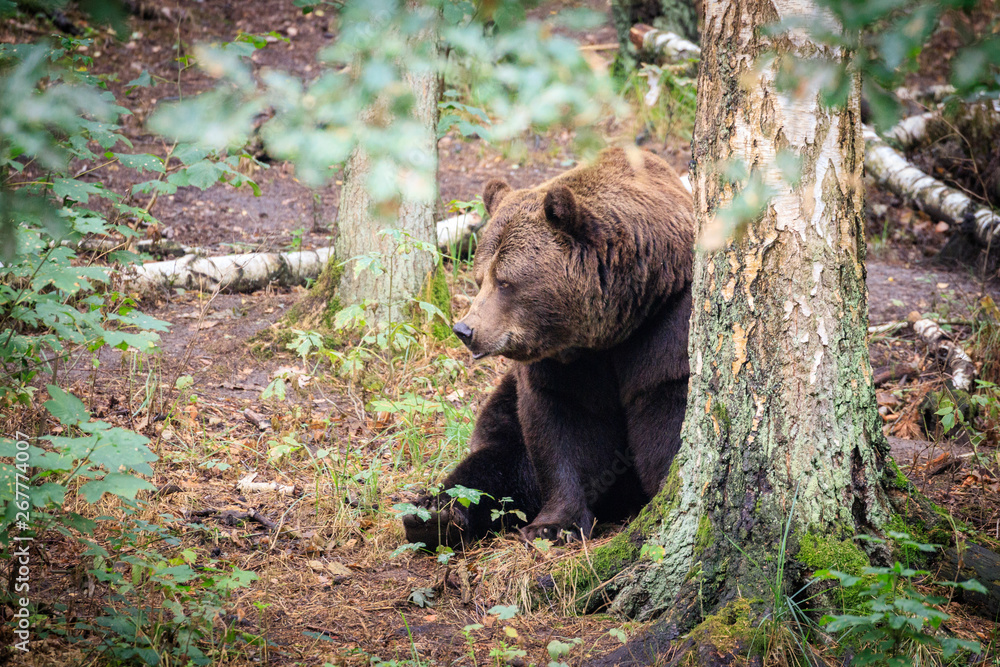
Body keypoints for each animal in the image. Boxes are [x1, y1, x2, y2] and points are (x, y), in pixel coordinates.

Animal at [403, 147, 694, 548]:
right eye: (479, 278)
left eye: (505, 282)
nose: (465, 329)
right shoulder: (562, 362)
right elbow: (561, 427)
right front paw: (555, 525)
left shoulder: (665, 326)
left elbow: (666, 413)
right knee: (497, 456)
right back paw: (434, 514)